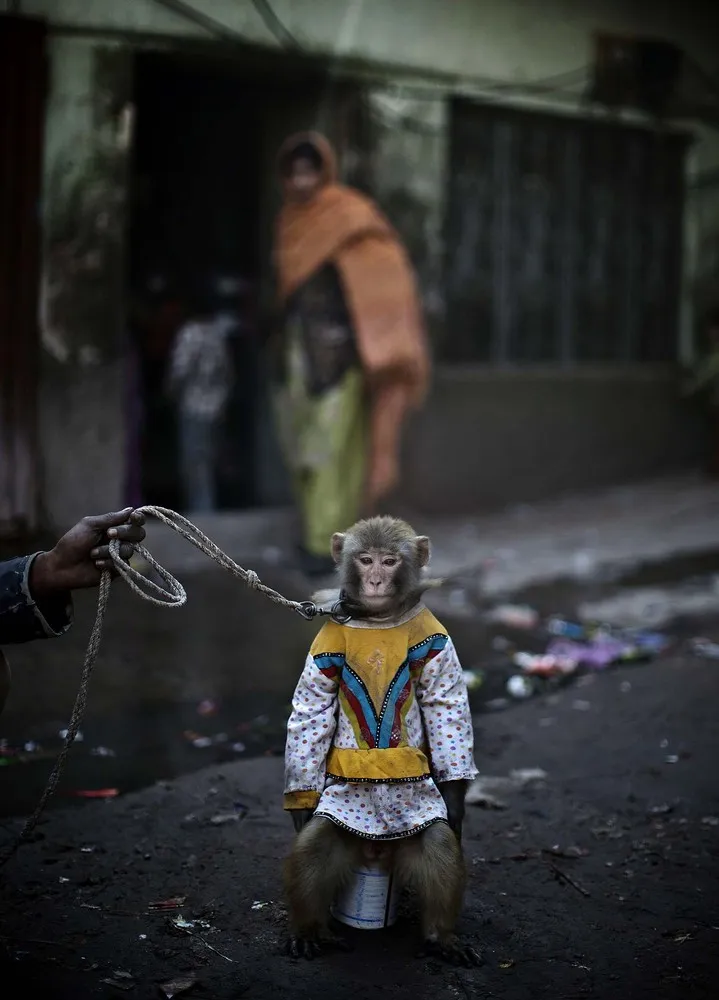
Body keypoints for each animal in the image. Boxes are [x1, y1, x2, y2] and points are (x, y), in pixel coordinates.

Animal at [282, 516, 480, 966]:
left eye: (389, 562)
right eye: (365, 559)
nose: (374, 580)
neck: (378, 619)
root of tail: (377, 849)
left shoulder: (438, 640)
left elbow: (445, 705)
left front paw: (457, 802)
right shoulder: (324, 646)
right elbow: (310, 712)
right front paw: (300, 807)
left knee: (438, 842)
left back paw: (440, 937)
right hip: (344, 823)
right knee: (316, 844)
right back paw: (311, 929)